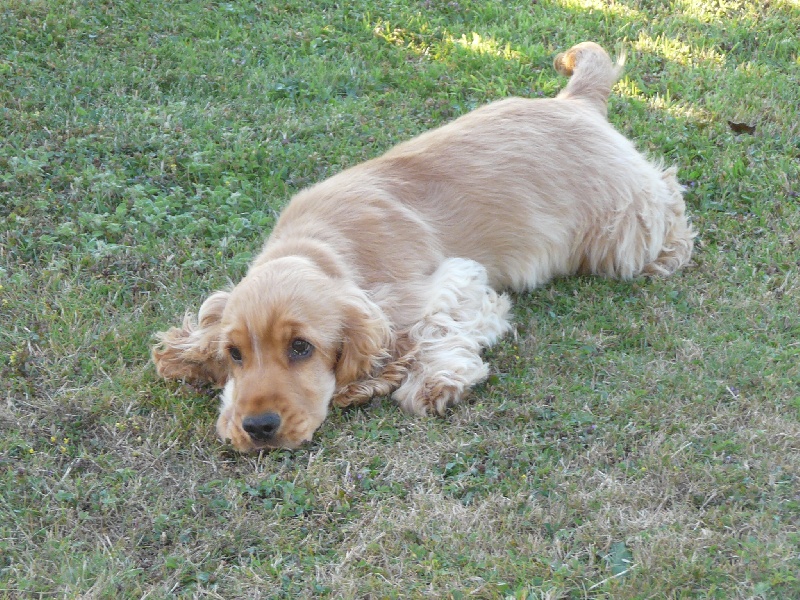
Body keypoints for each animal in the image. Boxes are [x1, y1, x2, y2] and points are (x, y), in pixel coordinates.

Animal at [152, 42, 695, 452]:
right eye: (235, 354)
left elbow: (435, 330)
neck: (319, 248)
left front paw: (434, 383)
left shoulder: (448, 284)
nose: (257, 428)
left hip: (621, 230)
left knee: (667, 196)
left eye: (301, 347)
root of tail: (575, 100)